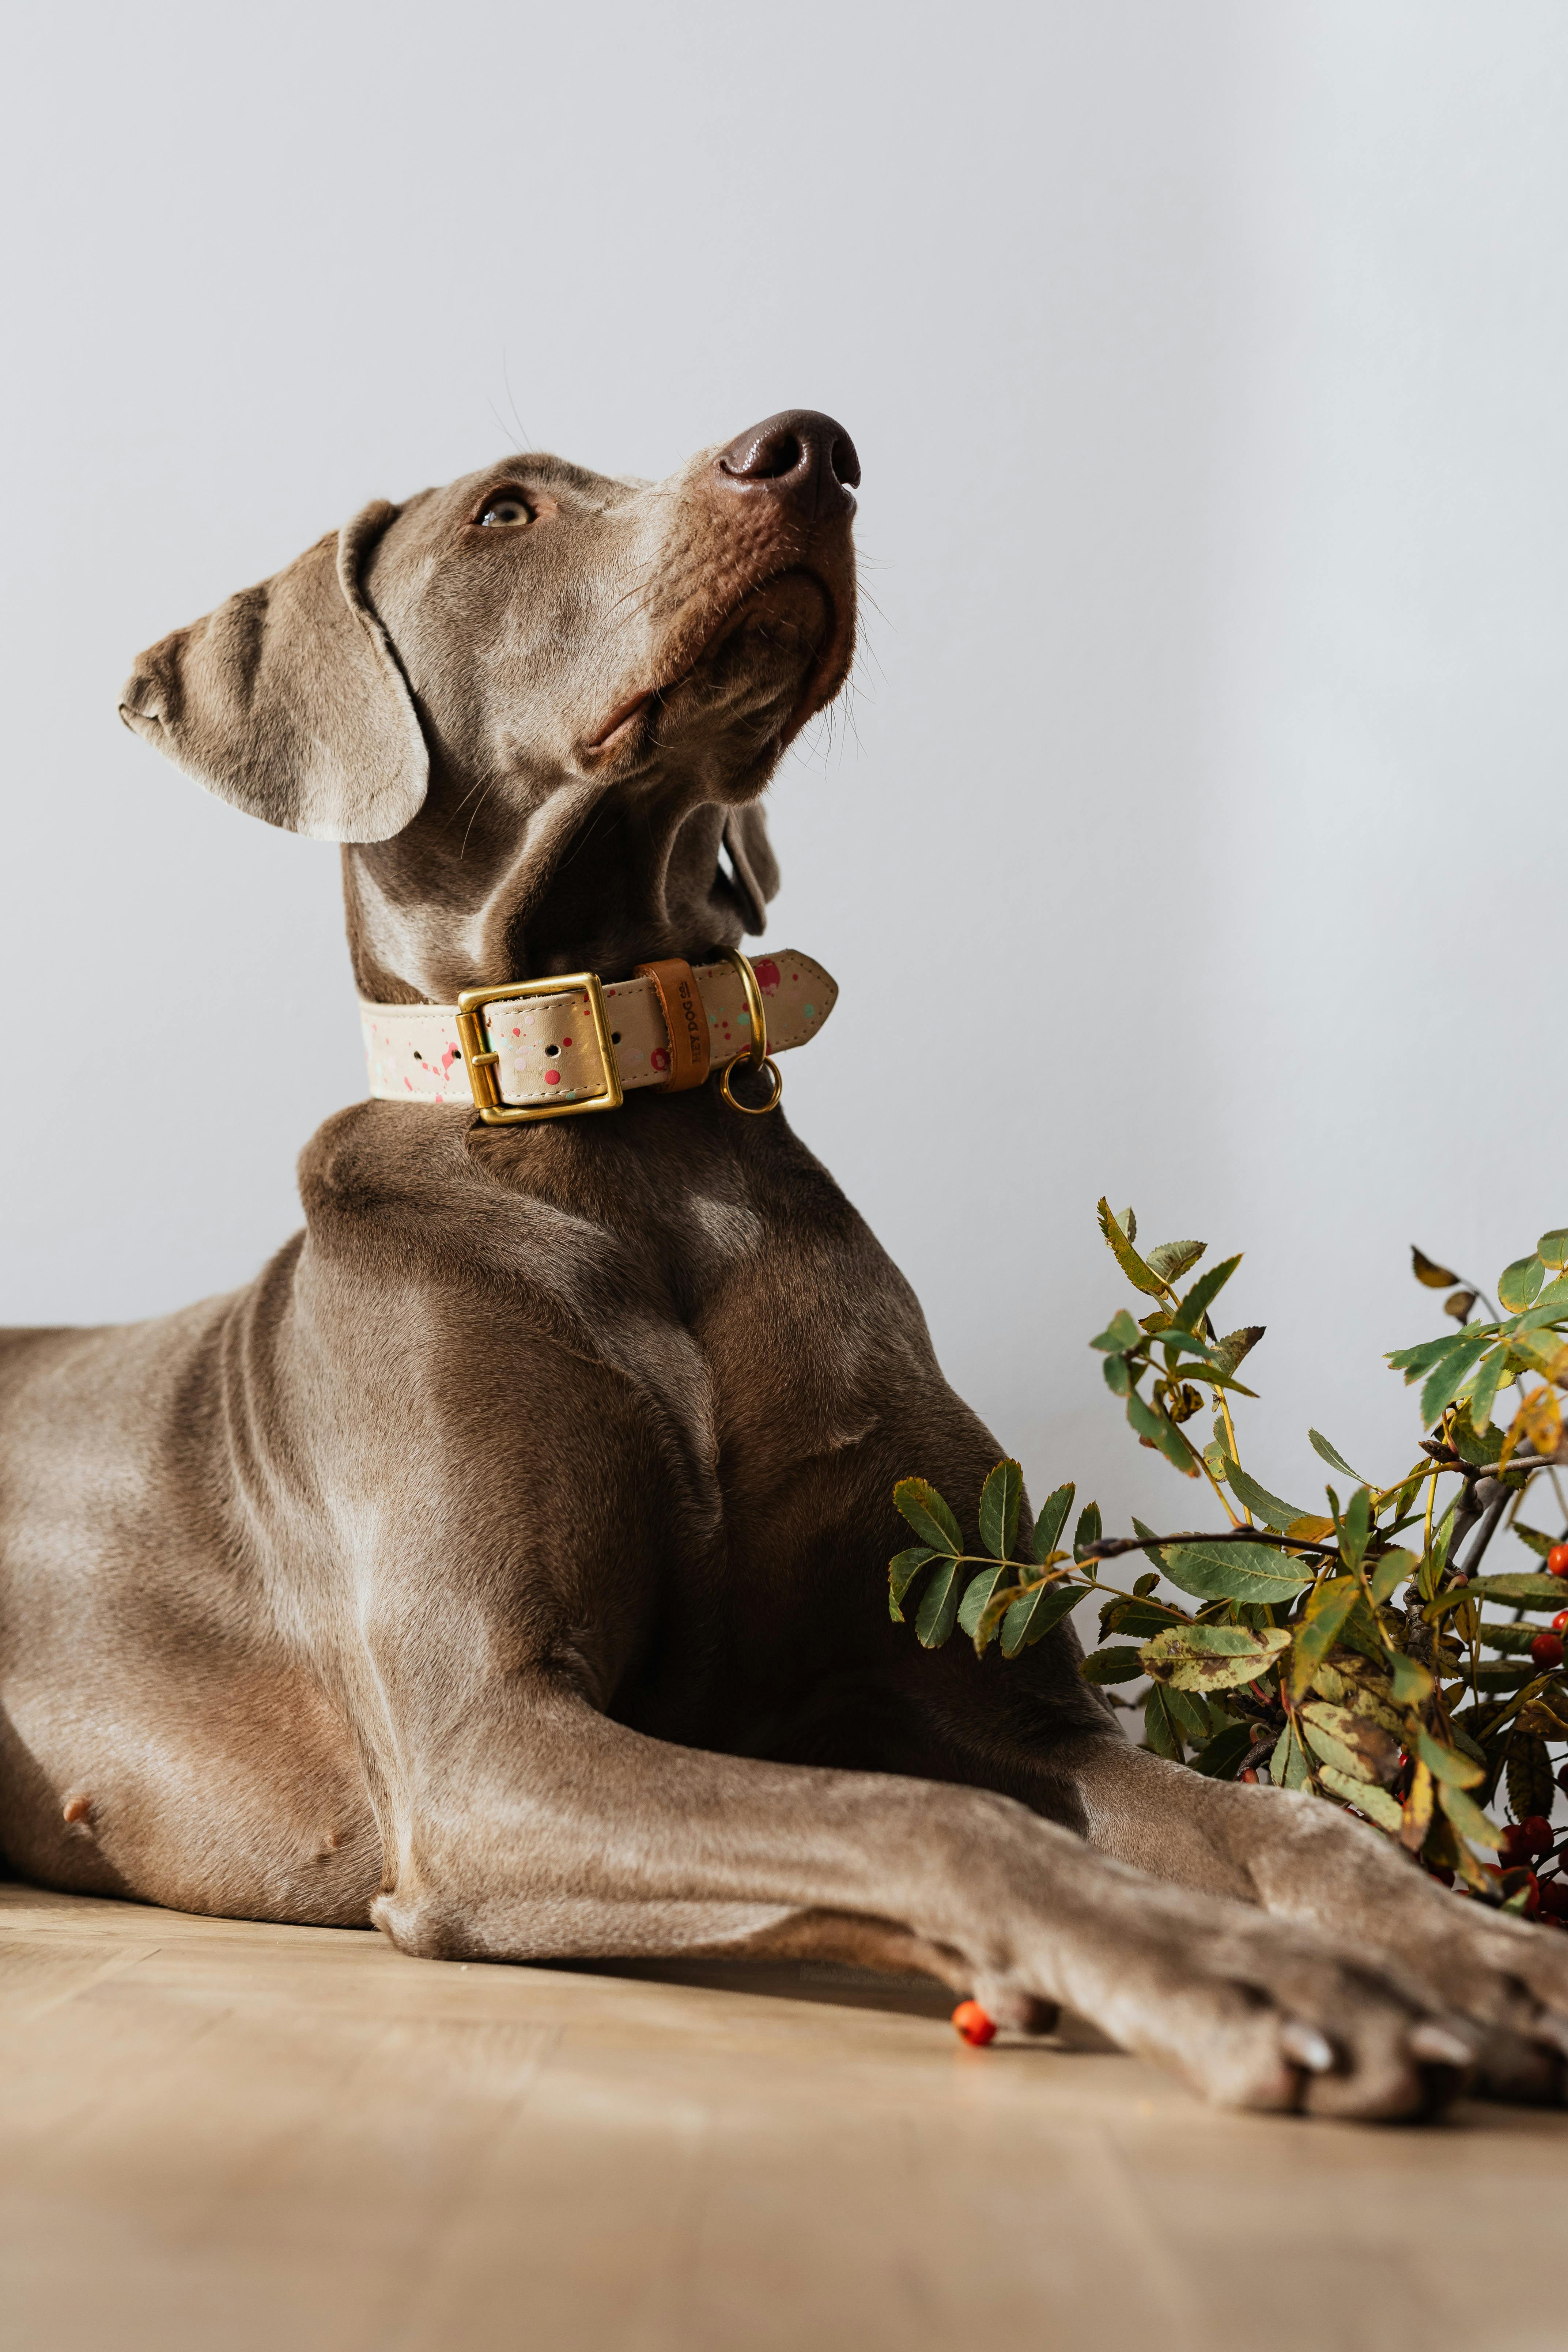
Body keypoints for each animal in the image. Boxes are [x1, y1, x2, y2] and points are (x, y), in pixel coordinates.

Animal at [3, 404, 1568, 2117]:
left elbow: (1281, 1816)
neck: (623, 1130)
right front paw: (1242, 1973)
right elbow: (920, 1812)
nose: (809, 447)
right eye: (504, 511)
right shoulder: (482, 1746)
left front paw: (1477, 1950)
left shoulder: (986, 1694)